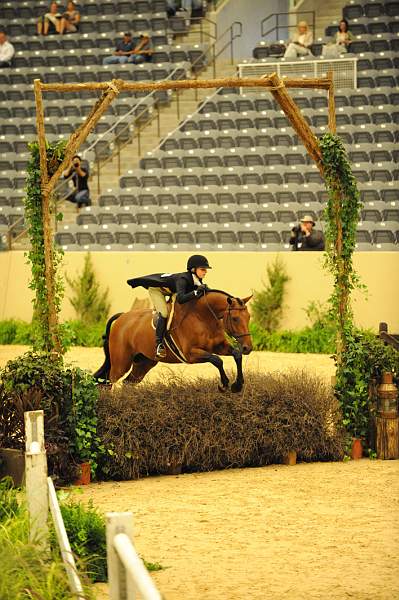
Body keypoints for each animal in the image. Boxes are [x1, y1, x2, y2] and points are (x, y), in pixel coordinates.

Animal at [94, 290, 253, 394]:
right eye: (235, 319)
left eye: (249, 317)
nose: (248, 347)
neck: (203, 316)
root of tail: (122, 317)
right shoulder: (191, 354)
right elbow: (217, 360)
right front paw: (224, 385)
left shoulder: (219, 346)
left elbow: (236, 355)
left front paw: (237, 385)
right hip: (121, 363)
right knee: (109, 382)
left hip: (144, 363)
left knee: (127, 383)